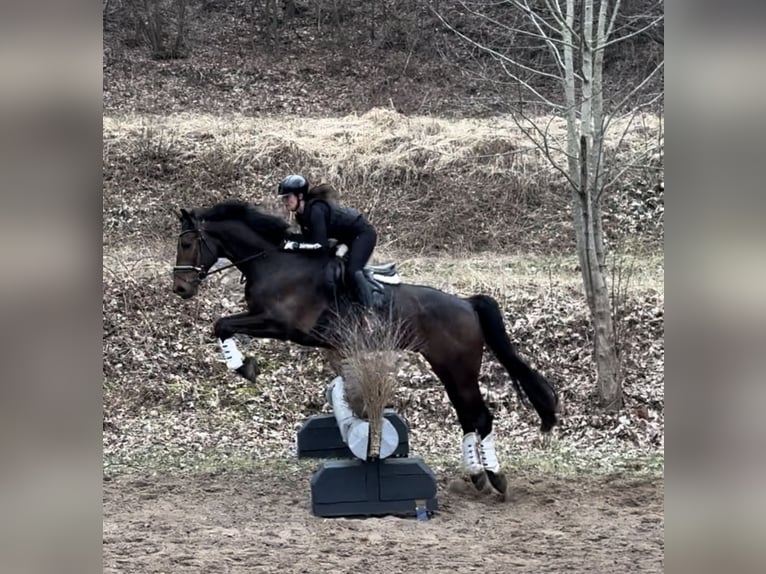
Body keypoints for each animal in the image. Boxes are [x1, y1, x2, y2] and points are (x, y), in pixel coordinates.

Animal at [172, 200, 560, 492]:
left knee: (481, 417)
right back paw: (478, 475)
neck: (274, 262)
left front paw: (244, 367)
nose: (181, 289)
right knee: (469, 417)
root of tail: (467, 304)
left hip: (460, 368)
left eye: (187, 244)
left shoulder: (280, 325)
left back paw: (492, 475)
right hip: (447, 368)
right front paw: (243, 365)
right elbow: (222, 324)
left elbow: (222, 324)